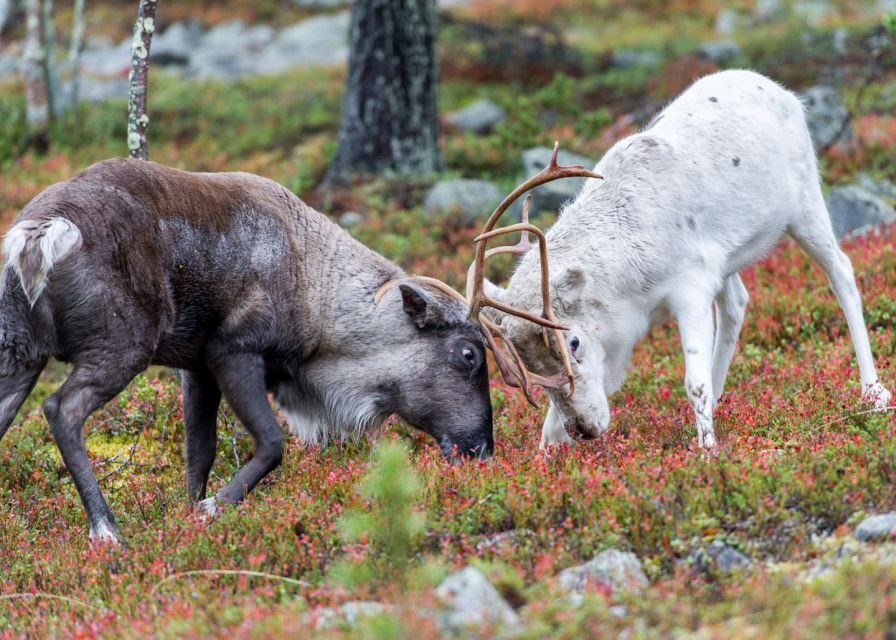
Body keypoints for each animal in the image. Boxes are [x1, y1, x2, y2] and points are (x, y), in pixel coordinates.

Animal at [0, 152, 595, 543]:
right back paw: (105, 529)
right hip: (119, 344)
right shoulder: (234, 350)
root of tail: (37, 233)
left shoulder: (194, 367)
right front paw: (214, 508)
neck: (319, 304)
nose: (481, 450)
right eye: (469, 356)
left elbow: (199, 451)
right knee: (61, 409)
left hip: (19, 350)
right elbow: (272, 444)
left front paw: (189, 514)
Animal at [475, 69, 892, 450]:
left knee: (842, 273)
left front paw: (708, 454)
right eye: (526, 363)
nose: (584, 430)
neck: (628, 280)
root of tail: (780, 89)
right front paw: (546, 453)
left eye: (573, 342)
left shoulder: (689, 290)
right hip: (729, 259)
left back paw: (873, 392)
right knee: (737, 303)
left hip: (805, 207)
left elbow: (694, 382)